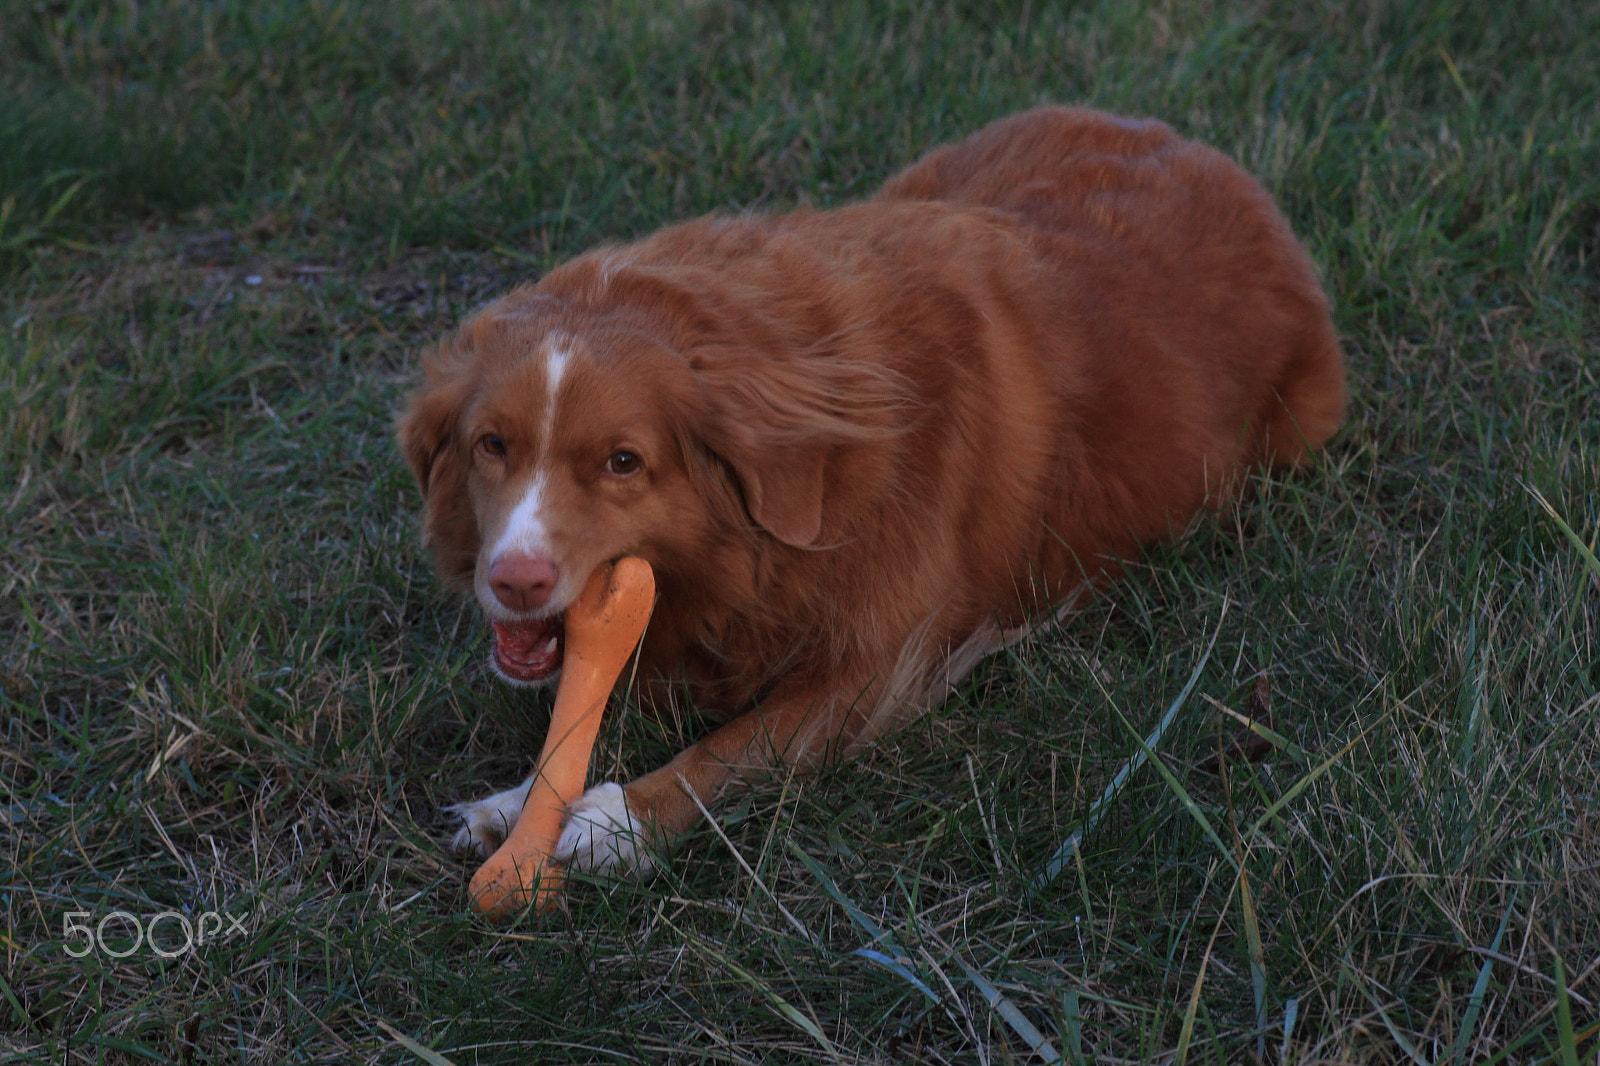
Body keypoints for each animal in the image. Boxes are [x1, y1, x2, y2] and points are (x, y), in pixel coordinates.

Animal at [396, 108, 1337, 883]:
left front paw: (618, 820)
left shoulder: (881, 666)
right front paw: (516, 804)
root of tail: (1217, 161)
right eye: (493, 446)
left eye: (624, 462)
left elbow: (740, 746)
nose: (514, 581)